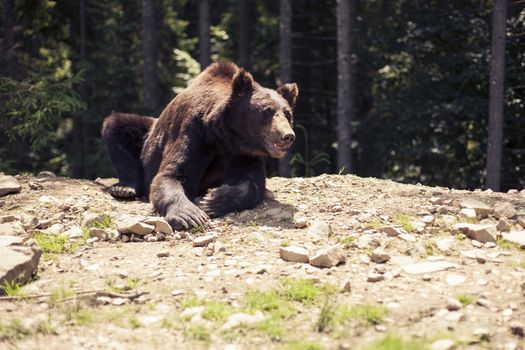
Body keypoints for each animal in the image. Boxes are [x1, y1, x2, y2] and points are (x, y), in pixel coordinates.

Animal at [102, 62, 296, 230]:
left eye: (288, 114)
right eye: (267, 111)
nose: (288, 135)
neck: (225, 136)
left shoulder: (241, 154)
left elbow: (252, 182)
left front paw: (213, 199)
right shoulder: (195, 134)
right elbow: (171, 174)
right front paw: (190, 215)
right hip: (147, 135)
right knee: (116, 124)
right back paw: (124, 188)